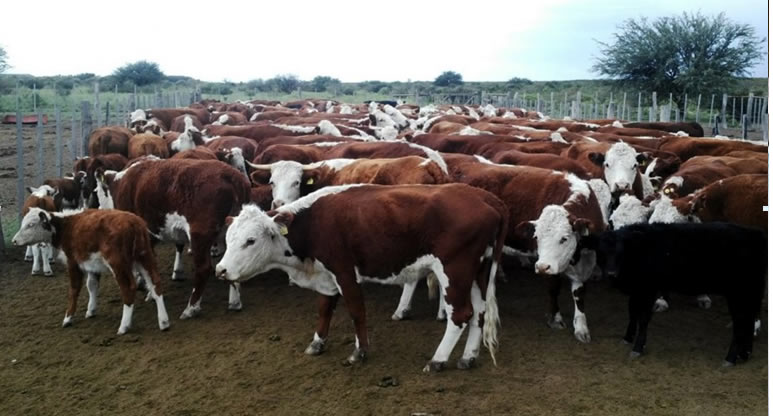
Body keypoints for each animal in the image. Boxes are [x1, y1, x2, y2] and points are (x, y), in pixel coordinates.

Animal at [11, 208, 170, 334]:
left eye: (30, 225)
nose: (14, 241)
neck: (67, 226)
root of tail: (134, 223)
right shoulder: (92, 265)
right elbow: (92, 286)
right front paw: (91, 310)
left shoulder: (73, 262)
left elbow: (74, 290)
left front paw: (68, 318)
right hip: (145, 257)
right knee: (156, 283)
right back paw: (163, 322)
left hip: (118, 264)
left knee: (128, 287)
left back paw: (124, 326)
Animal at [216, 184, 506, 372]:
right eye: (228, 238)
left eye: (250, 240)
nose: (221, 270)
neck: (314, 222)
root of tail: (487, 198)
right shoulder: (327, 277)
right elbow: (324, 310)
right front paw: (317, 343)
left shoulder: (345, 272)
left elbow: (356, 312)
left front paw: (359, 352)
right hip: (478, 273)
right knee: (479, 313)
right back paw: (468, 357)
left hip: (454, 272)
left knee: (461, 314)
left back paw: (438, 360)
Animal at [580, 224, 764, 364]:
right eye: (601, 251)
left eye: (621, 251)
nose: (611, 274)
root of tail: (754, 234)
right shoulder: (637, 290)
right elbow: (632, 312)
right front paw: (627, 337)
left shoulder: (648, 289)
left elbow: (643, 318)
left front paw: (638, 347)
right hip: (749, 294)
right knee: (748, 321)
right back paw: (745, 354)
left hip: (738, 294)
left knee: (740, 324)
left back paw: (730, 358)